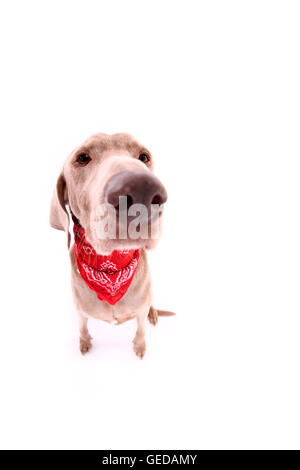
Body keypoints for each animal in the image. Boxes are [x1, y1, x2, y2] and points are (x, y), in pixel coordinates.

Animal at [49, 133, 173, 360]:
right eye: (82, 158)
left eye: (144, 156)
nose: (142, 189)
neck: (111, 269)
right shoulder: (80, 311)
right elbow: (82, 327)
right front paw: (84, 343)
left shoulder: (140, 310)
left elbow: (140, 329)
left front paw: (139, 347)